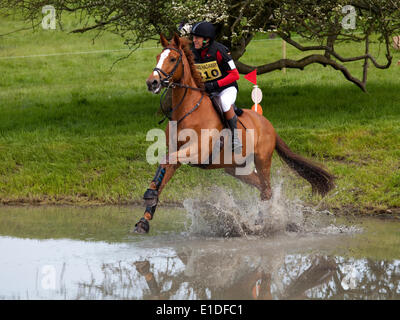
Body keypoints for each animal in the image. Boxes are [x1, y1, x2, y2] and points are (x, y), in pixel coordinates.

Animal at [134, 33, 334, 234]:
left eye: (173, 59)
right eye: (157, 57)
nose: (152, 83)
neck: (189, 109)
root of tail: (268, 125)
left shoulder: (197, 151)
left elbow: (165, 161)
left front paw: (149, 196)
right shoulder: (178, 153)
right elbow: (163, 172)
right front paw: (145, 218)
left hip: (262, 160)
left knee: (267, 190)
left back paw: (261, 223)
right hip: (236, 167)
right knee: (261, 187)